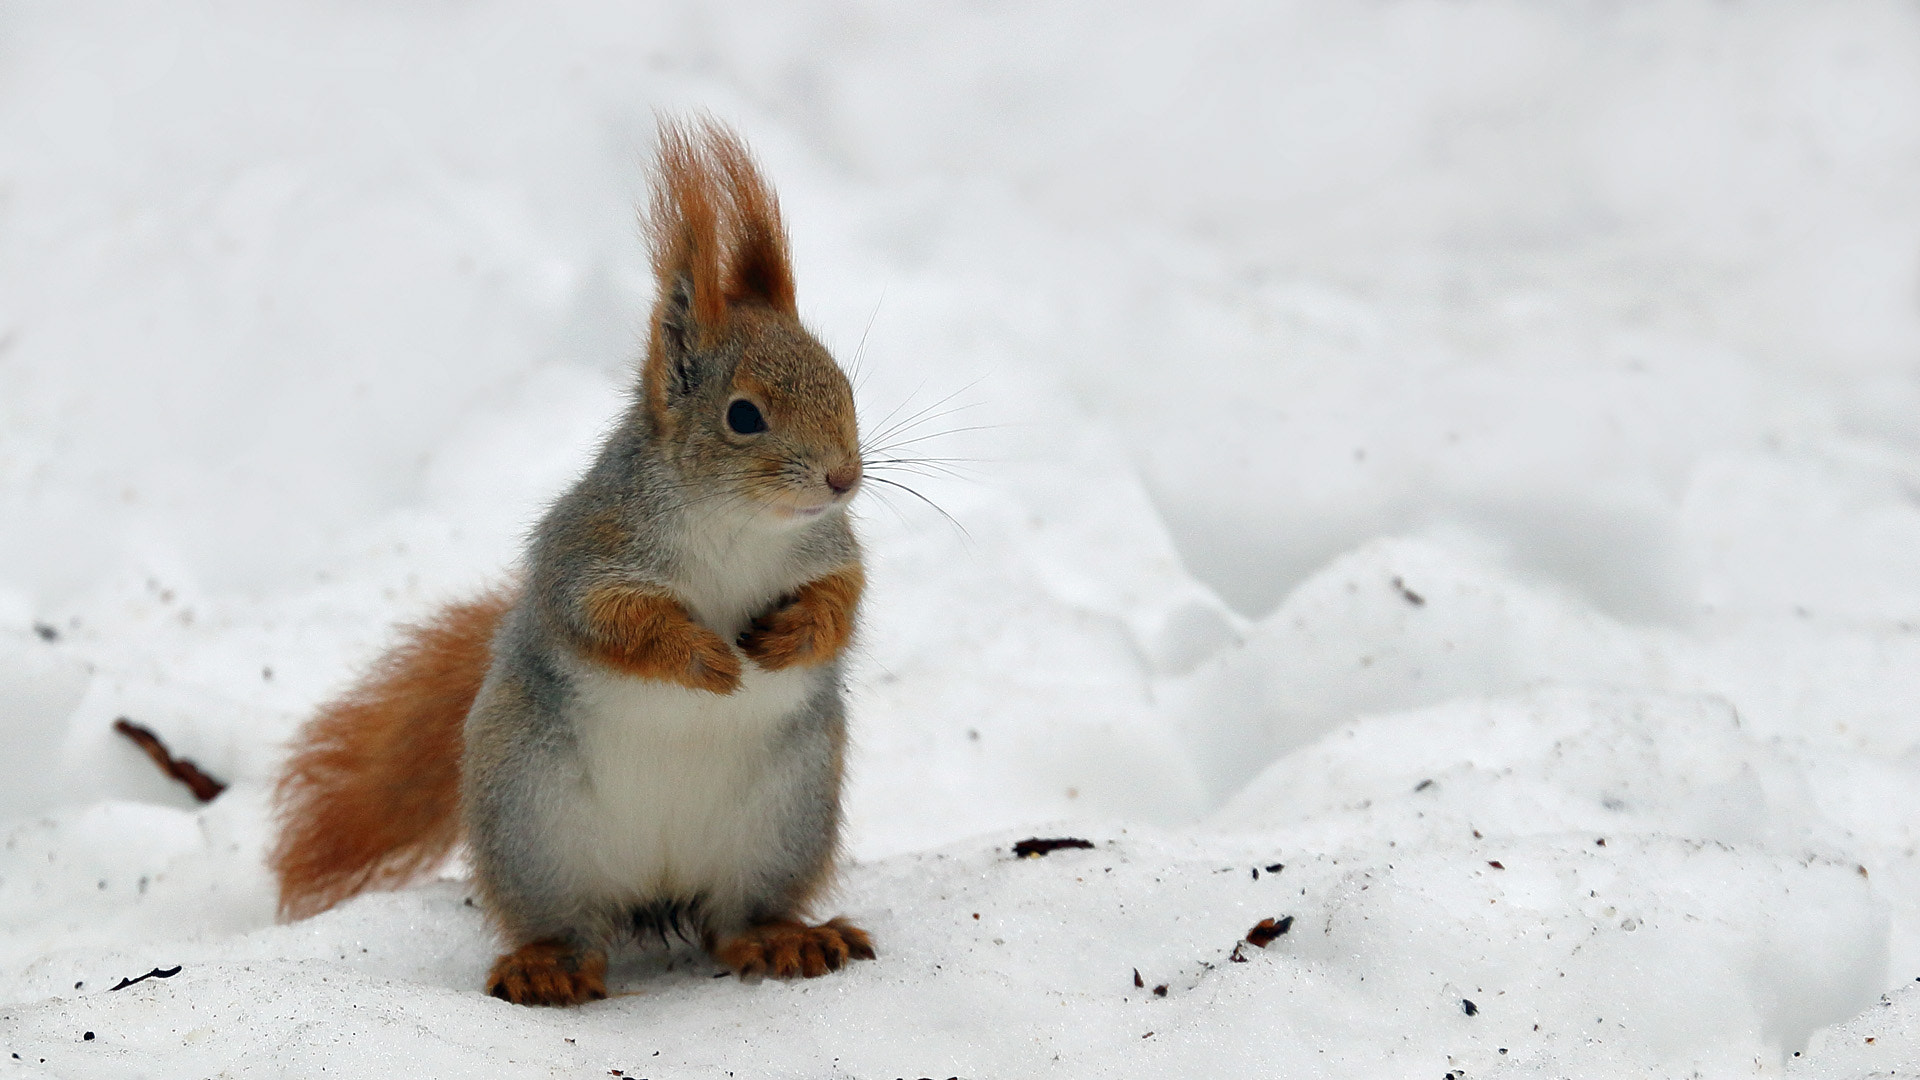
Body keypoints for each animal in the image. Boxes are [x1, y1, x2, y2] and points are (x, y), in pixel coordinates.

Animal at [268, 117, 875, 1006]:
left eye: (844, 387)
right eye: (743, 416)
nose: (843, 478)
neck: (738, 526)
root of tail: (658, 889)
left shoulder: (829, 547)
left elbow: (843, 599)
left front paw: (793, 637)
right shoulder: (587, 552)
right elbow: (613, 621)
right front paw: (703, 658)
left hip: (784, 820)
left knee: (736, 919)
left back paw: (781, 939)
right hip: (532, 823)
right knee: (568, 924)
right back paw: (546, 966)